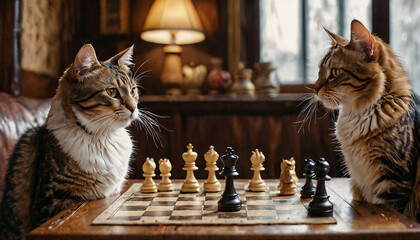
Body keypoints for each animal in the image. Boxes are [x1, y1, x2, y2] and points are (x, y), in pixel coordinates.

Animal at [306, 19, 418, 222]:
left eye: (334, 72)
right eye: (319, 70)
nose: (315, 89)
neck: (356, 113)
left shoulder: (394, 181)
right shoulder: (359, 182)